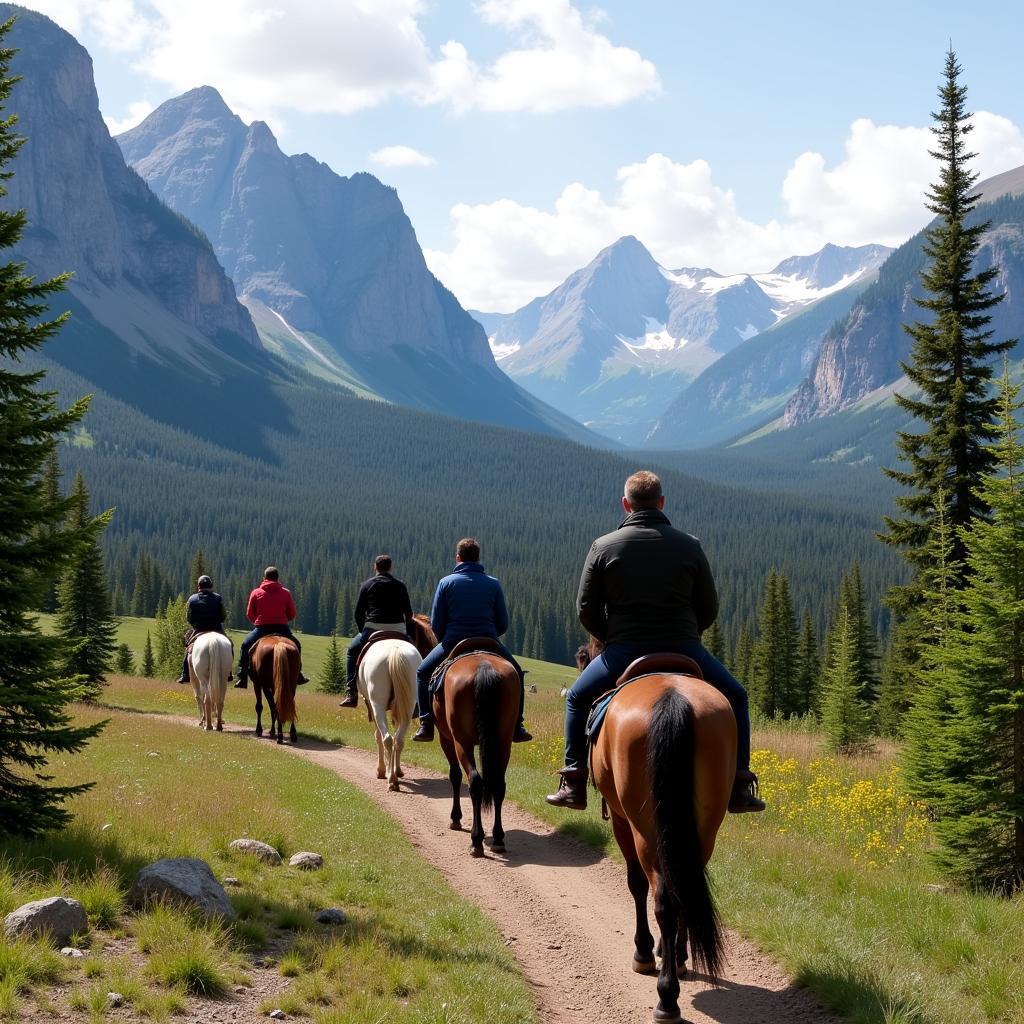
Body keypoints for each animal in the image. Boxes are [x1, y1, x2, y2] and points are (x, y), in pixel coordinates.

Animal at [360, 638, 419, 790]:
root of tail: (395, 651)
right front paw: (396, 769)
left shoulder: (372, 706)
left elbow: (378, 736)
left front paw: (382, 770)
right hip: (408, 706)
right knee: (398, 739)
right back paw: (394, 775)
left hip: (377, 706)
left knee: (387, 738)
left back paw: (391, 779)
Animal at [432, 647, 520, 856]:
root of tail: (483, 667)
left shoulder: (446, 739)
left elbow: (455, 775)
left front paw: (455, 818)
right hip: (504, 742)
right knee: (498, 784)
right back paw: (498, 838)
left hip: (461, 742)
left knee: (475, 781)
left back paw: (476, 840)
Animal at [585, 638, 737, 1015]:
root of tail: (672, 698)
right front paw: (674, 956)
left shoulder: (621, 821)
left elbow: (636, 884)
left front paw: (644, 951)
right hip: (704, 826)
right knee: (683, 886)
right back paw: (677, 964)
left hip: (644, 828)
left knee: (663, 896)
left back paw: (666, 997)